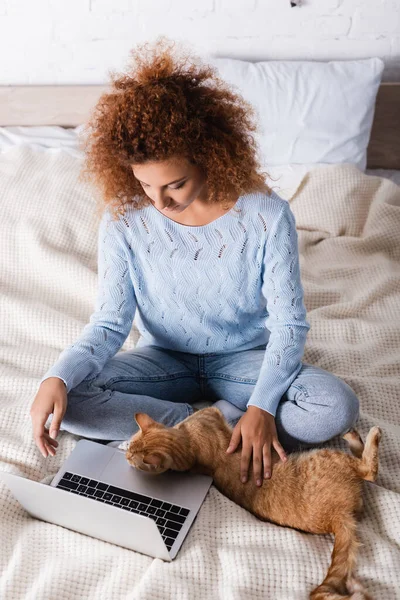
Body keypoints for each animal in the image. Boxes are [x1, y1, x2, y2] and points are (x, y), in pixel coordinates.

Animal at [124, 406, 382, 596]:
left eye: (128, 451)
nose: (125, 455)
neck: (188, 447)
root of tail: (336, 518)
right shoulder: (211, 412)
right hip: (328, 457)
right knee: (368, 470)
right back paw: (367, 435)